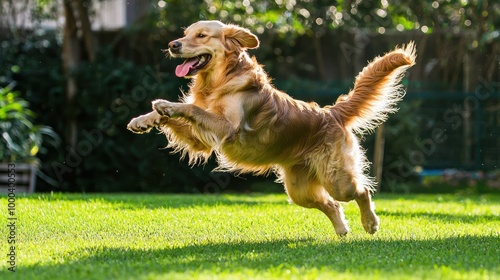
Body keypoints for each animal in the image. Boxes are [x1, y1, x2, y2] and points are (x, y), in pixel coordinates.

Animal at [127, 20, 416, 236]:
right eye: (185, 34)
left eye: (201, 35)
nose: (172, 45)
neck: (220, 81)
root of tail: (330, 112)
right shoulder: (202, 139)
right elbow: (176, 115)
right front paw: (144, 119)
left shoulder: (226, 128)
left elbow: (193, 109)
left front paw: (168, 105)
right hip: (298, 189)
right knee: (331, 204)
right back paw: (342, 228)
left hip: (336, 179)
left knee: (361, 190)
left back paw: (370, 223)